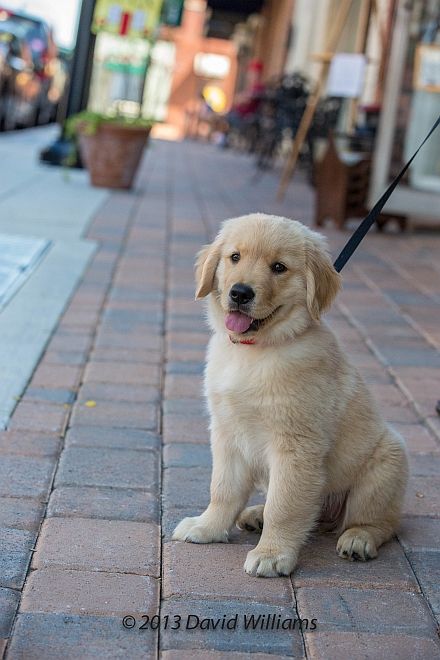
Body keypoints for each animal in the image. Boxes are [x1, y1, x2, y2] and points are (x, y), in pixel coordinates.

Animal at [173, 214, 410, 576]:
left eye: (279, 267)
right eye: (235, 257)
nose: (240, 293)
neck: (255, 352)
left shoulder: (295, 445)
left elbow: (284, 507)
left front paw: (272, 554)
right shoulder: (227, 432)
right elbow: (223, 489)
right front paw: (208, 527)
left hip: (385, 463)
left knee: (381, 522)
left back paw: (358, 539)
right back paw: (255, 515)